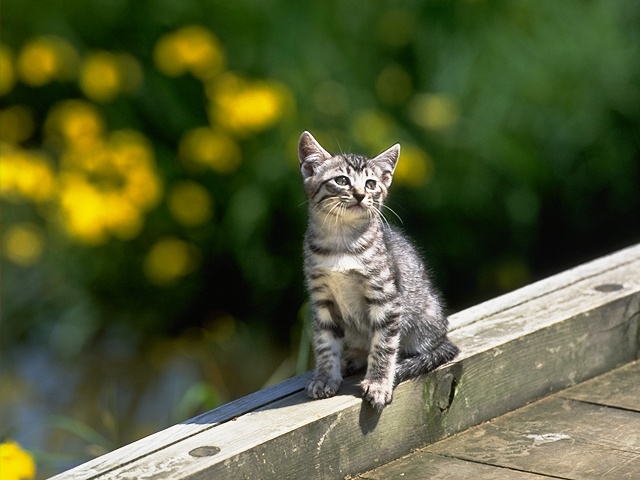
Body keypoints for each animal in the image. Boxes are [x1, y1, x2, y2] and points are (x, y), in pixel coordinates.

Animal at [298, 133, 458, 410]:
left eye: (371, 184)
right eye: (342, 180)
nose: (361, 195)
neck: (341, 243)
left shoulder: (386, 297)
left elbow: (383, 345)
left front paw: (378, 383)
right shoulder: (321, 298)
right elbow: (325, 343)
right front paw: (326, 376)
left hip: (425, 319)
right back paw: (351, 358)